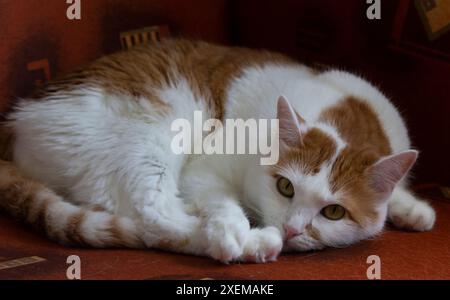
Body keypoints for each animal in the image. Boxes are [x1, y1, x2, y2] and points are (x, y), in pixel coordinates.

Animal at [0, 38, 436, 262]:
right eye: (285, 188)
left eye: (334, 212)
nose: (293, 229)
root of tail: (14, 123)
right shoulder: (206, 164)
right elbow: (218, 200)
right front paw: (231, 230)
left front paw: (412, 208)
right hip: (149, 136)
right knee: (154, 219)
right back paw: (253, 243)